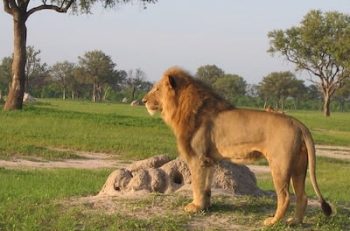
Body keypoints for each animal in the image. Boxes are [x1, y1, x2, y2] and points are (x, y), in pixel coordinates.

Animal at [142, 66, 330, 226]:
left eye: (156, 89)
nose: (143, 100)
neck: (182, 108)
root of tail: (297, 122)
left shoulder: (197, 158)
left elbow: (197, 185)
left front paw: (194, 207)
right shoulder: (208, 160)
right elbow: (206, 187)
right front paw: (205, 207)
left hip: (280, 165)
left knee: (285, 197)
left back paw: (272, 222)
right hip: (299, 167)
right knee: (302, 196)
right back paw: (294, 222)